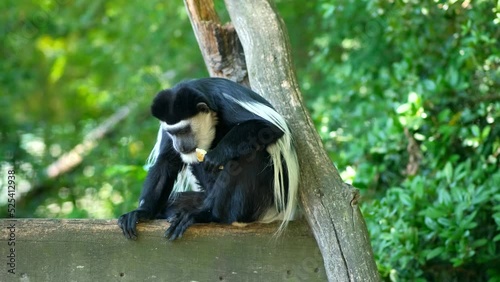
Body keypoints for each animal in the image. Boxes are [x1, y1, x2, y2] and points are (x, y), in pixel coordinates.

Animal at [118, 77, 296, 240]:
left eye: (184, 131)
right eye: (172, 133)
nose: (179, 146)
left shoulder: (227, 103)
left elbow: (268, 127)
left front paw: (217, 155)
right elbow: (166, 162)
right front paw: (142, 212)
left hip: (260, 200)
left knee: (250, 155)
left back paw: (206, 215)